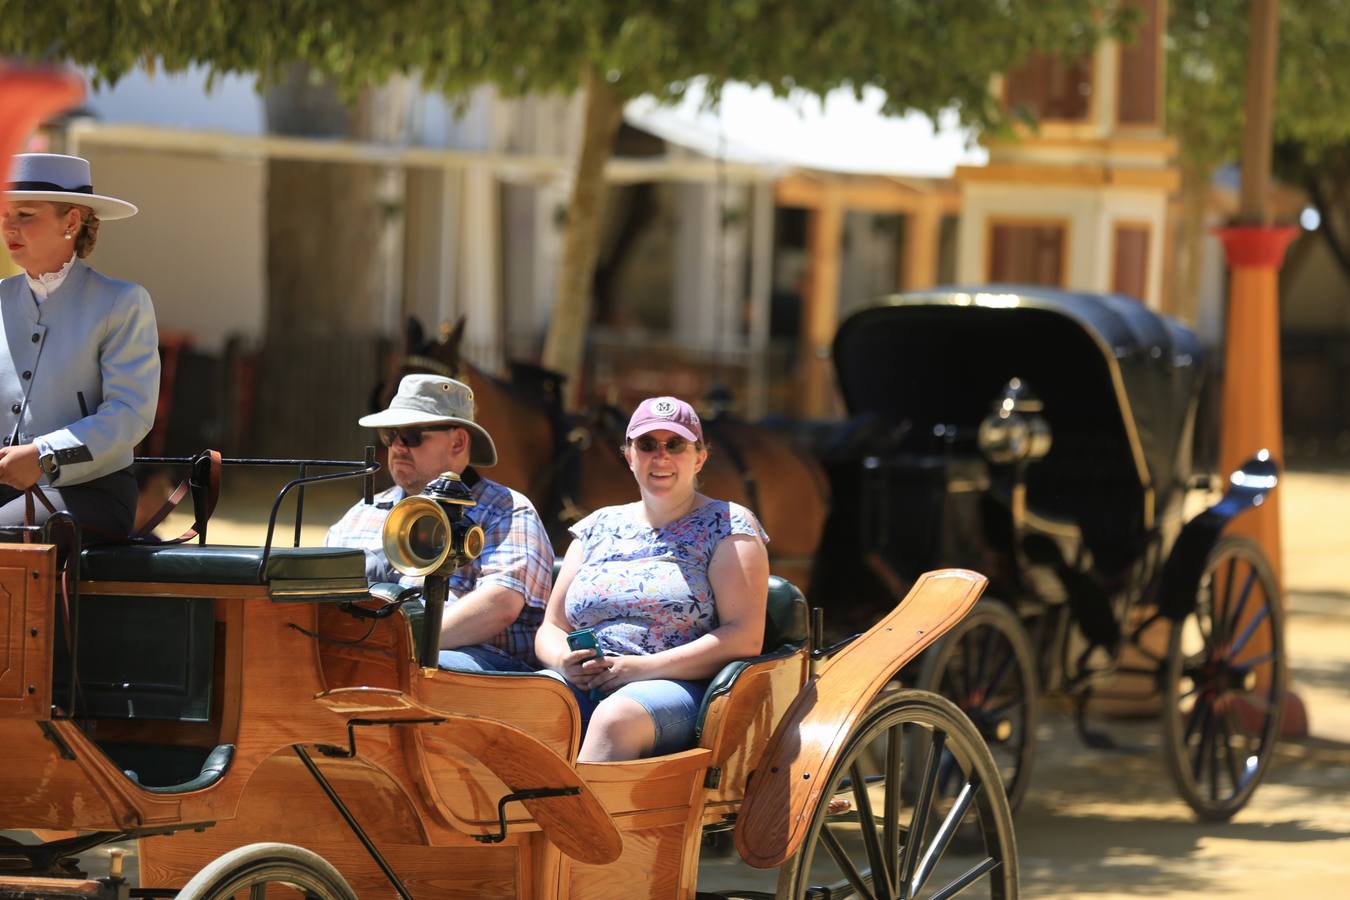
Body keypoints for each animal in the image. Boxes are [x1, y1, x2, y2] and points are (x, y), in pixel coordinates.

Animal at [375, 318, 826, 591]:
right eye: (381, 396)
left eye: (416, 431)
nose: (385, 485)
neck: (550, 462)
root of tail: (797, 452)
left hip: (791, 564)